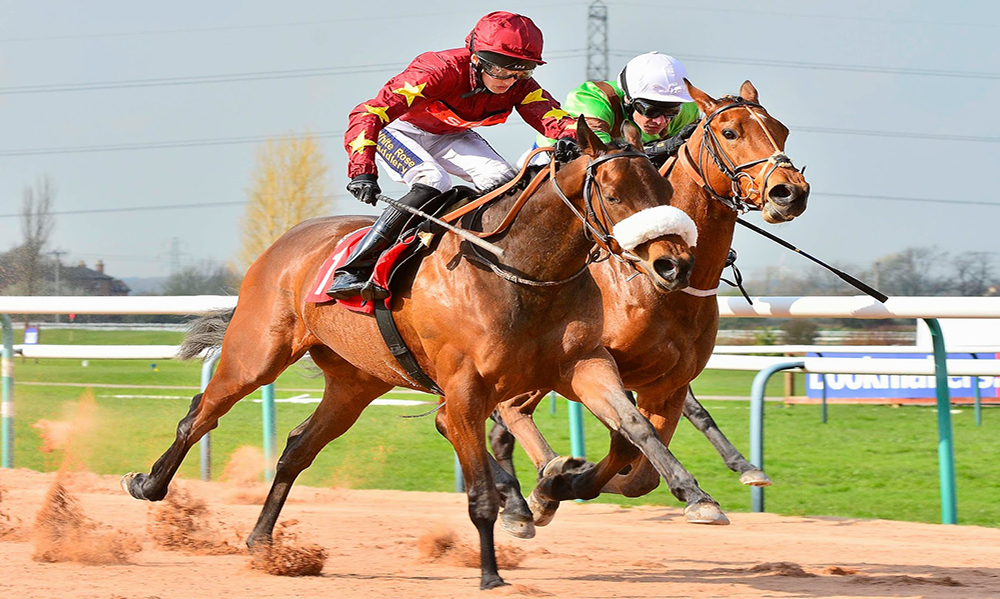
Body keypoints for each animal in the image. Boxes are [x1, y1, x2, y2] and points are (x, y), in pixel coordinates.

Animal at [121, 118, 700, 592]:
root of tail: (285, 243)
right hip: (256, 354)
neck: (516, 267)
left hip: (355, 382)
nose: (672, 265)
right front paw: (491, 573)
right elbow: (478, 488)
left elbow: (635, 426)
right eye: (614, 194)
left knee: (296, 448)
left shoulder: (584, 366)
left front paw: (694, 494)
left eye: (663, 187)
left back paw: (263, 542)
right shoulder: (465, 389)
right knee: (199, 414)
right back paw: (148, 483)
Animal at [488, 79, 808, 524]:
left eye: (782, 131)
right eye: (729, 132)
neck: (656, 289)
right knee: (504, 413)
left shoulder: (668, 383)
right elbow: (629, 441)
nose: (789, 192)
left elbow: (638, 470)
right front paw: (556, 482)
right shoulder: (585, 366)